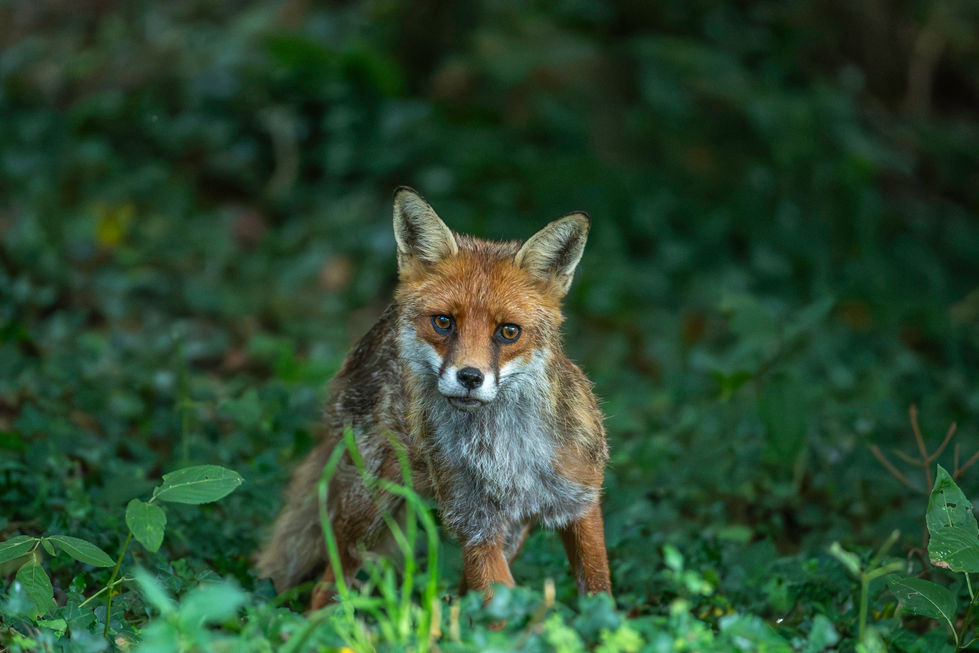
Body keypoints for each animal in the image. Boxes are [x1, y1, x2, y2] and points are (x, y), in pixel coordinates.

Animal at [256, 187, 611, 609]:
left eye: (509, 331)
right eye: (444, 322)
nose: (470, 377)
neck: (504, 452)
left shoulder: (581, 503)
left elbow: (599, 593)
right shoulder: (473, 523)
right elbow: (501, 607)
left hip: (512, 534)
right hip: (369, 510)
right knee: (329, 583)